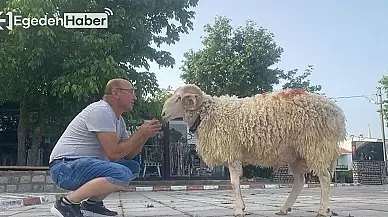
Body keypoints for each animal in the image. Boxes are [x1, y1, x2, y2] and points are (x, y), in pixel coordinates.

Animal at [160, 84, 346, 216]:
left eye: (178, 99)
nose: (162, 114)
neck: (208, 114)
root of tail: (337, 113)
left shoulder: (232, 153)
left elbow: (234, 183)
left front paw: (239, 210)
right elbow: (236, 183)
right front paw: (241, 207)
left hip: (315, 146)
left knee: (324, 178)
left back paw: (322, 210)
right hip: (297, 155)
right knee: (300, 181)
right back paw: (284, 209)